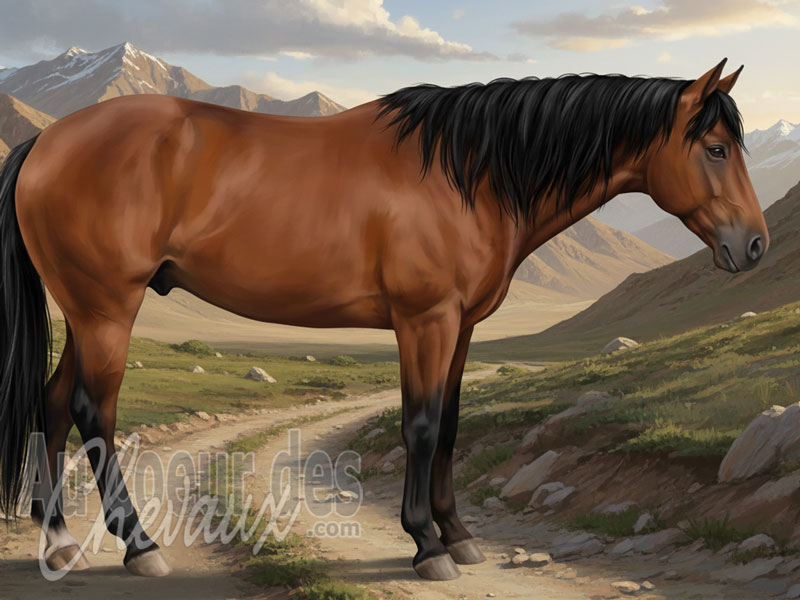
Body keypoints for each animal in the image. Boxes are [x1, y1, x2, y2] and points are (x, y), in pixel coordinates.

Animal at [0, 58, 768, 581]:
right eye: (716, 148)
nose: (755, 246)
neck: (470, 172)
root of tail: (47, 142)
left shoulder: (462, 326)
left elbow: (450, 427)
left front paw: (459, 535)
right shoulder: (424, 321)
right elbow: (421, 425)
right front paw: (426, 544)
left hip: (87, 311)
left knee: (53, 404)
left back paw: (60, 541)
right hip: (108, 308)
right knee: (94, 411)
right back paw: (139, 546)